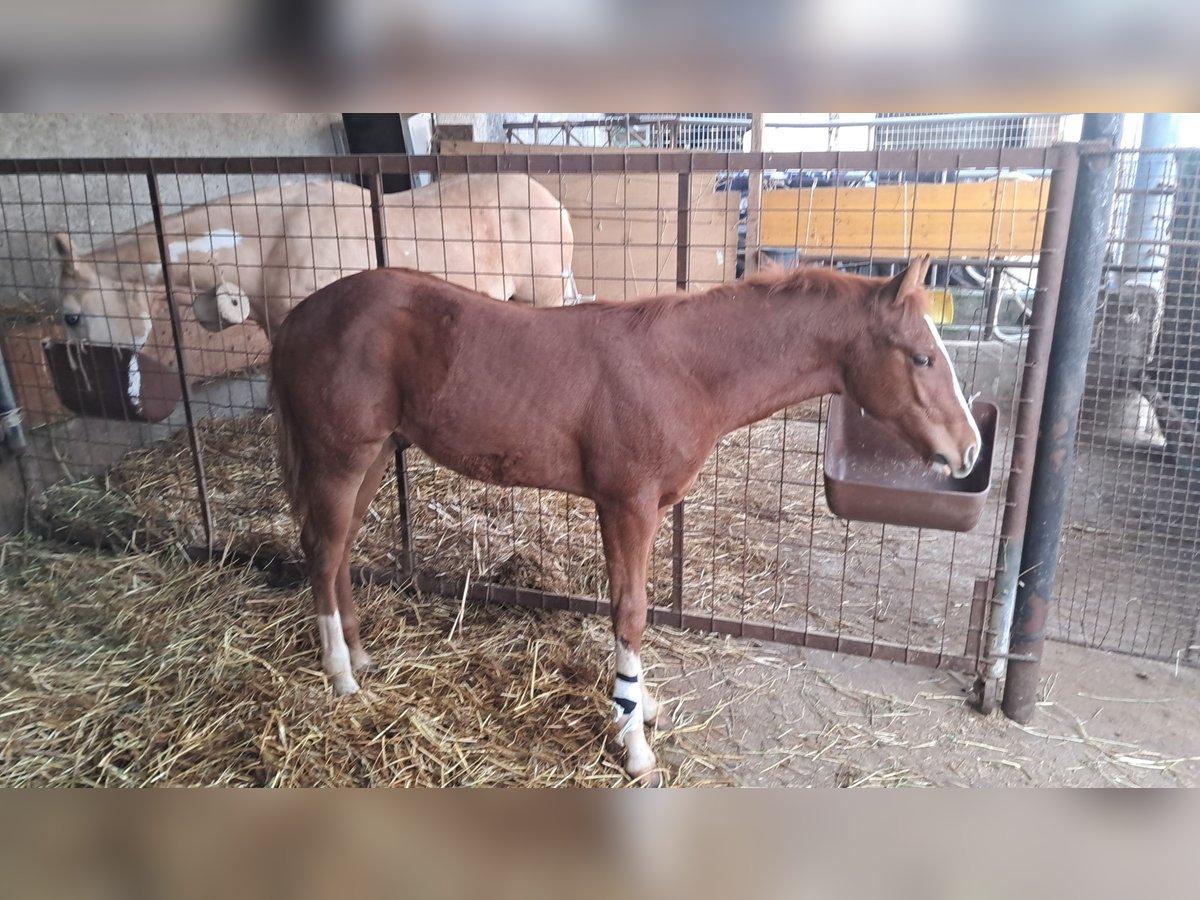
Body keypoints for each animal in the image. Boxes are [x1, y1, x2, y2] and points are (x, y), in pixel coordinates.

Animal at [268, 256, 981, 784]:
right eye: (921, 357)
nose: (969, 451)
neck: (684, 371)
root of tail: (298, 315)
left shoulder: (647, 508)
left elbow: (638, 608)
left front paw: (640, 706)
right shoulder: (625, 504)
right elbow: (630, 612)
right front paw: (635, 744)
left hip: (375, 454)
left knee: (338, 547)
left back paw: (361, 655)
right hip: (340, 455)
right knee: (324, 549)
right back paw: (340, 674)